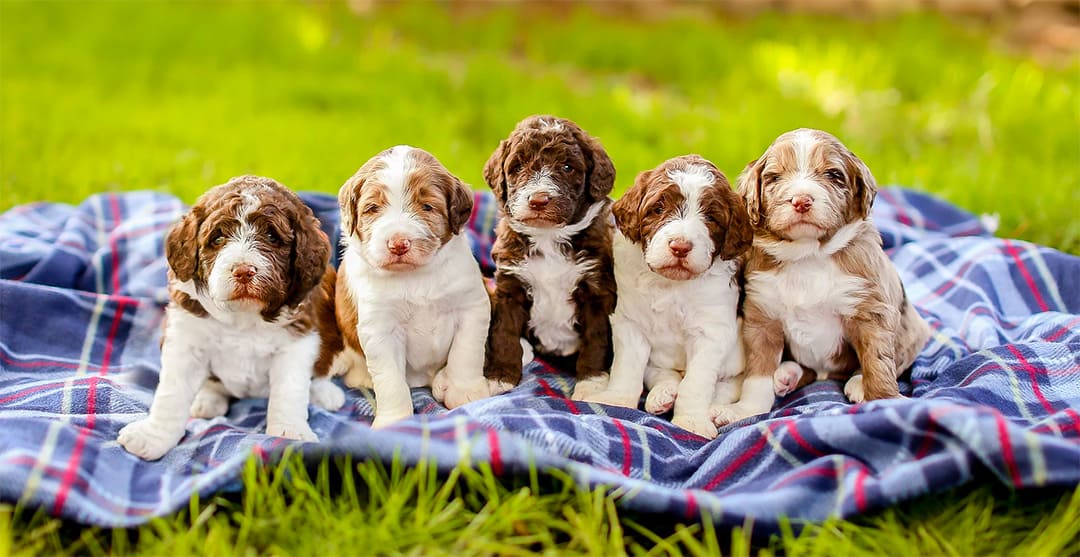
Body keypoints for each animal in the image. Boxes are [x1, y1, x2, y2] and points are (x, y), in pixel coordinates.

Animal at [116, 175, 339, 459]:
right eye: (218, 237)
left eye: (272, 236)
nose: (243, 271)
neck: (242, 316)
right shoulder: (185, 339)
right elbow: (171, 393)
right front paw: (153, 436)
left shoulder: (296, 340)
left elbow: (289, 391)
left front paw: (289, 432)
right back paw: (206, 397)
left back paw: (325, 392)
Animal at [332, 144, 494, 427]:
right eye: (372, 208)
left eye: (427, 206)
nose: (398, 244)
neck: (415, 276)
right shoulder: (380, 329)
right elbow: (390, 381)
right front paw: (394, 421)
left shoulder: (472, 306)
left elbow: (466, 354)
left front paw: (465, 393)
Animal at [481, 114, 617, 399]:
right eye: (517, 166)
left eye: (567, 167)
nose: (539, 200)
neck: (549, 237)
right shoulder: (510, 285)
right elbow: (503, 331)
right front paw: (500, 376)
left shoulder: (597, 291)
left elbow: (596, 339)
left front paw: (591, 384)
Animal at [583, 155, 751, 440]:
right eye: (658, 207)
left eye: (711, 217)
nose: (680, 247)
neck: (671, 285)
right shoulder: (630, 322)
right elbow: (627, 366)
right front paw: (617, 400)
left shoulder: (711, 334)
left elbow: (696, 382)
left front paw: (692, 421)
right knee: (662, 374)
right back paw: (663, 394)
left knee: (728, 386)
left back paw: (717, 412)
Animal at [725, 129, 937, 427]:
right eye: (774, 177)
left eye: (833, 175)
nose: (801, 200)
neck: (807, 256)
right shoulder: (762, 316)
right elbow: (758, 373)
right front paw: (745, 410)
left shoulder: (871, 310)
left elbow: (877, 360)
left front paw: (884, 401)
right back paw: (786, 375)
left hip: (913, 329)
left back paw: (856, 383)